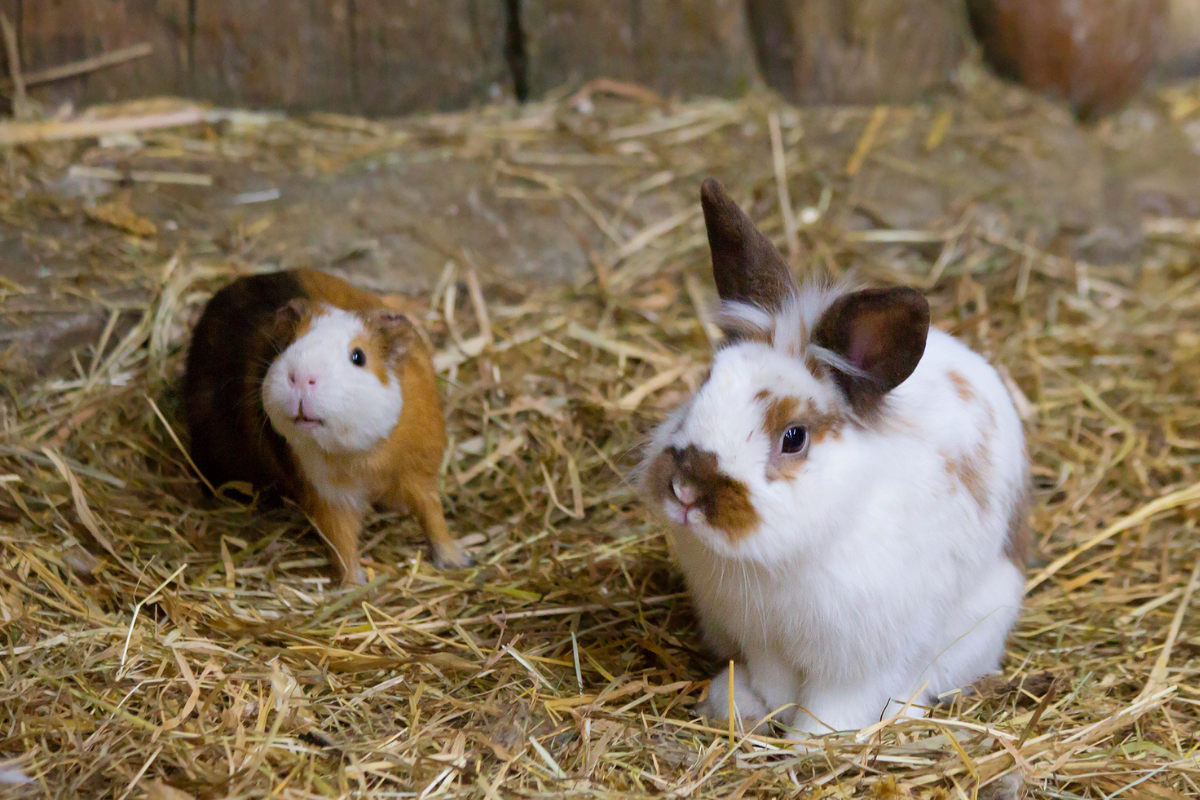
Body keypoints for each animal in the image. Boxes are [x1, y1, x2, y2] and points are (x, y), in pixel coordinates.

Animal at [639, 178, 1030, 738]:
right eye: (704, 385)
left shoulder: (862, 660)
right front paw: (763, 712)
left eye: (794, 437)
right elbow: (776, 684)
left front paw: (806, 744)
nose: (687, 491)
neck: (785, 559)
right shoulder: (763, 638)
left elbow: (835, 707)